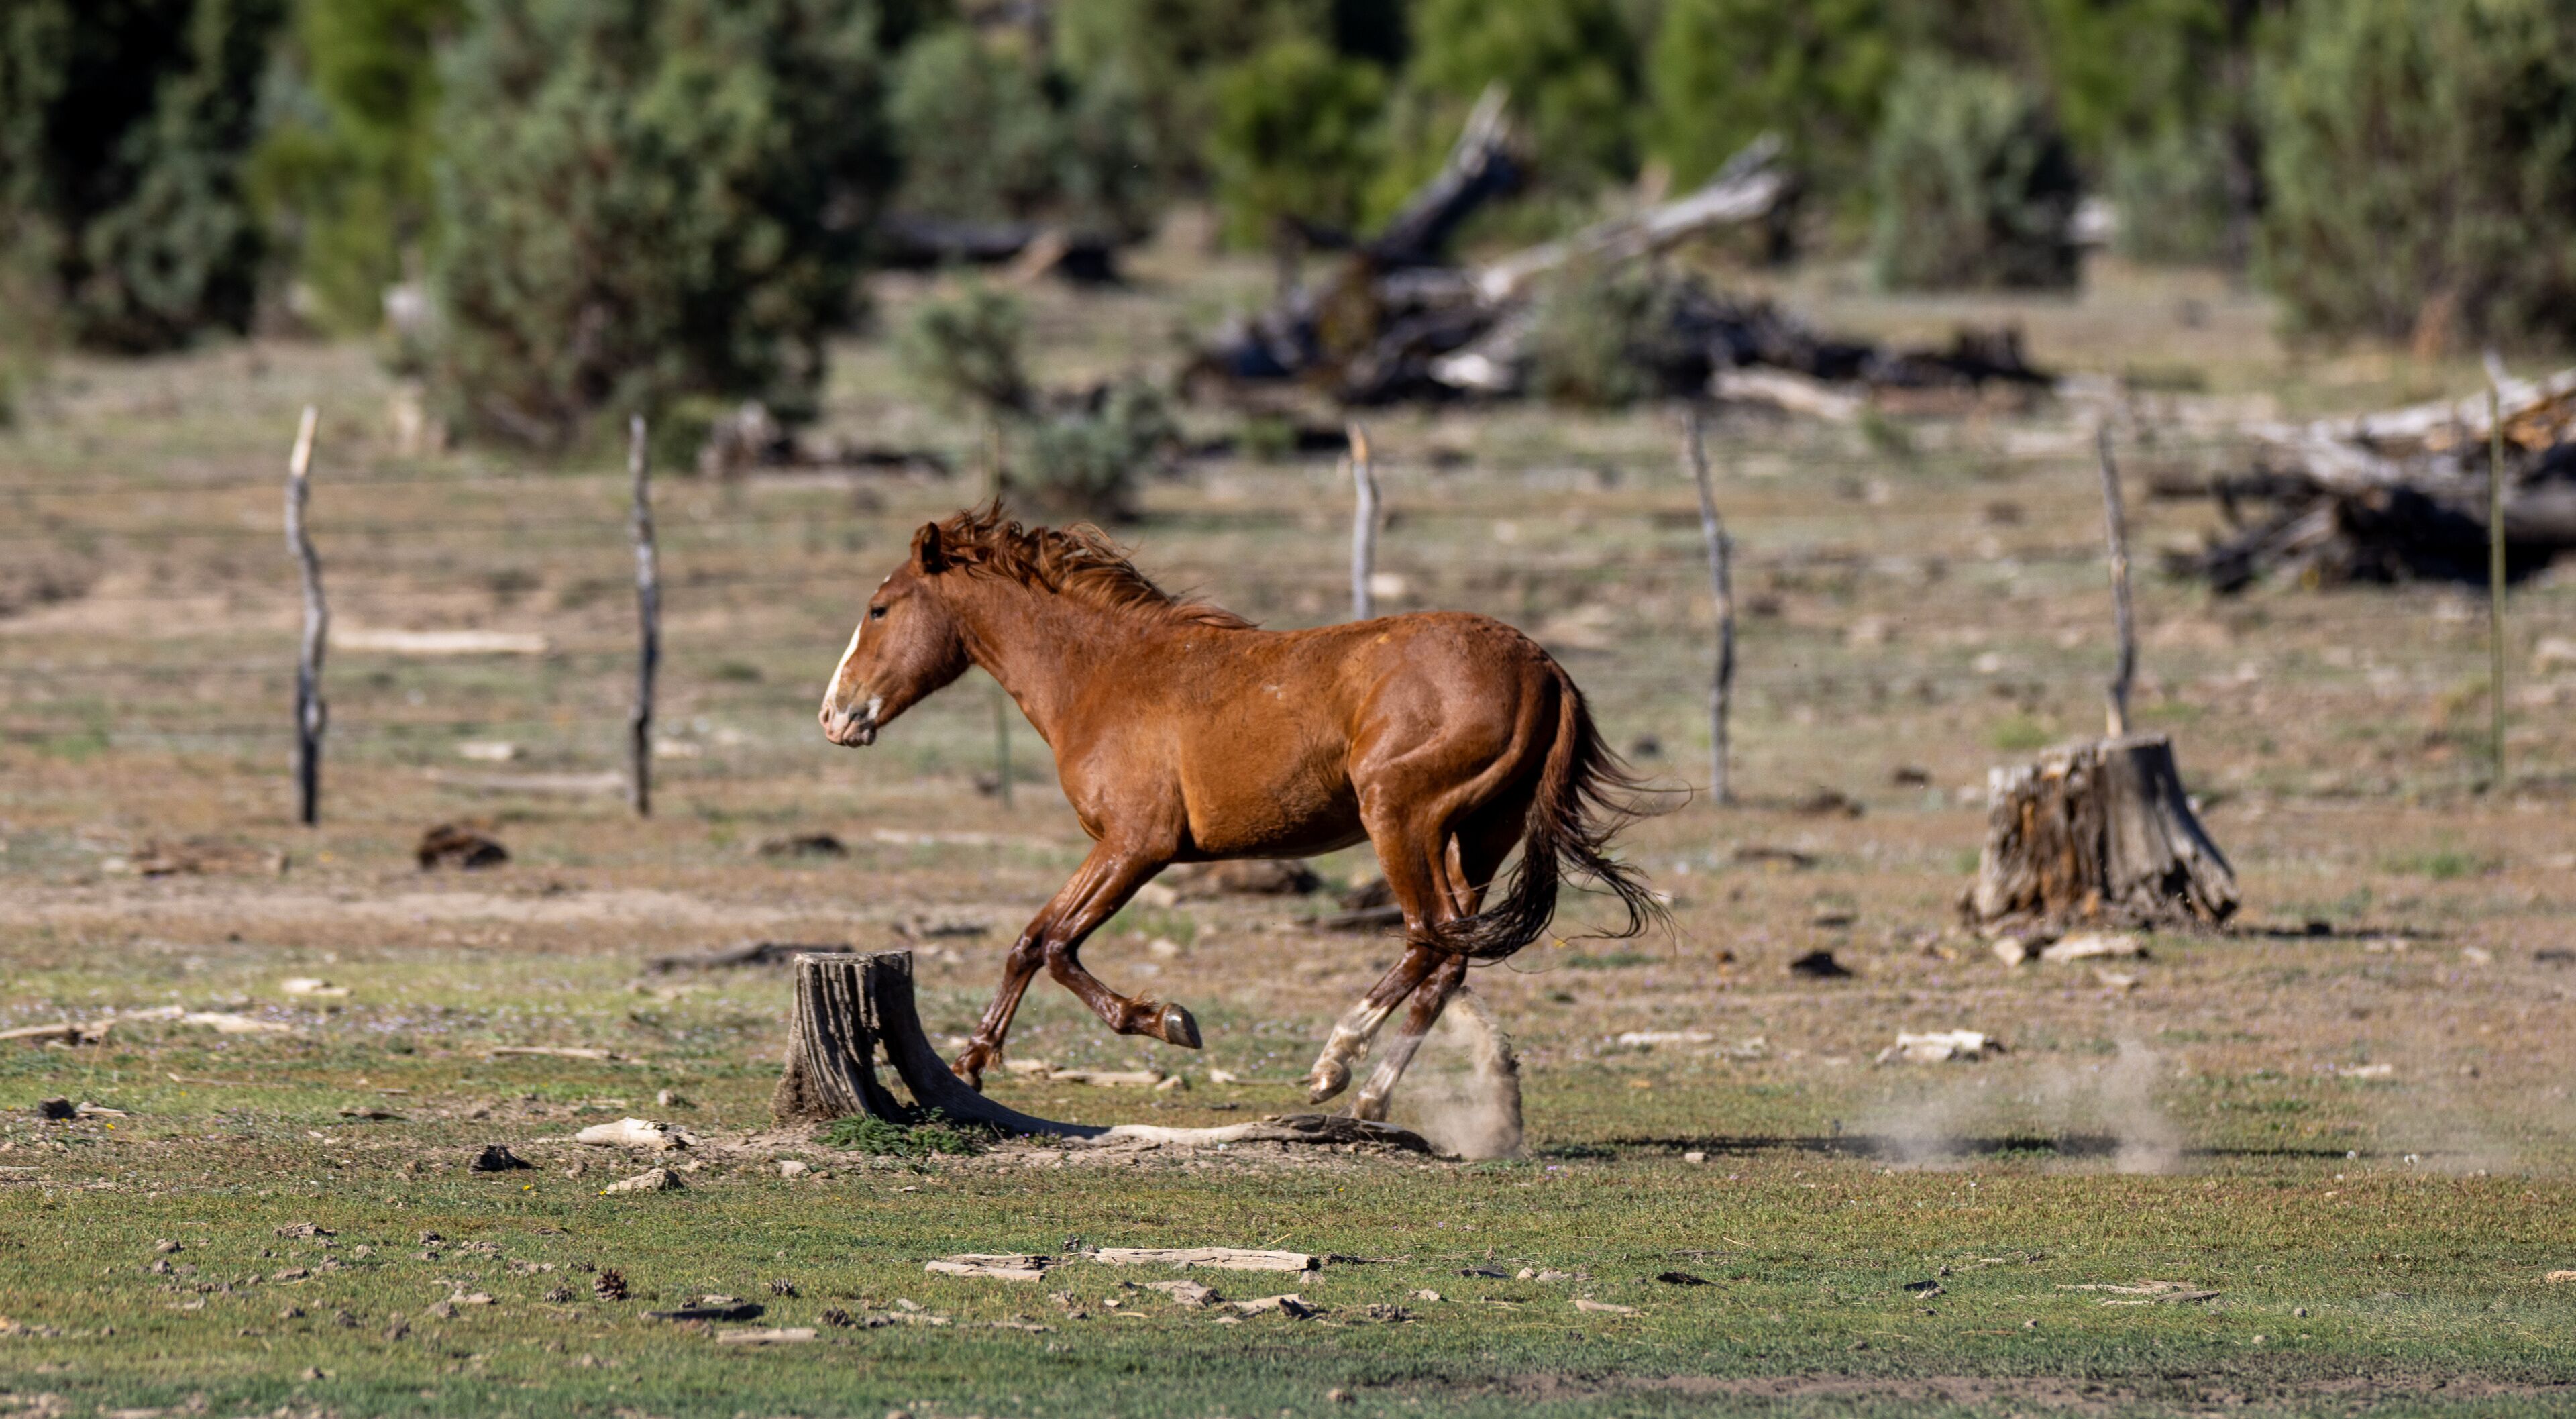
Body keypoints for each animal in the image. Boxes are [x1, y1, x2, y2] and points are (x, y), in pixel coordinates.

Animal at [818, 502, 1663, 1120]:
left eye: (879, 608)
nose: (835, 717)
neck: (1101, 675)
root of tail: (1544, 668)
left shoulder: (1137, 845)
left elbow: (1057, 946)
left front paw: (1167, 1020)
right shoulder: (1116, 848)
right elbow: (1030, 941)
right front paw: (971, 1062)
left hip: (1402, 819)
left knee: (1428, 938)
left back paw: (1334, 1064)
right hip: (1477, 837)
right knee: (1450, 954)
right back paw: (1371, 1097)